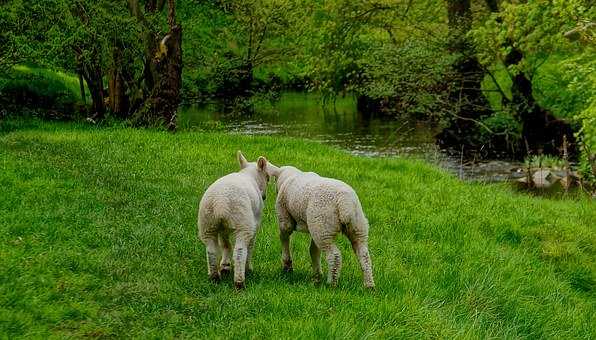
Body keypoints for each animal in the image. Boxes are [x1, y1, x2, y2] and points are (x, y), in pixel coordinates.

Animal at [198, 151, 270, 290]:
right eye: (268, 178)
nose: (264, 197)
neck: (249, 176)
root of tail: (220, 203)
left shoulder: (223, 228)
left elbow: (225, 244)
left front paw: (225, 266)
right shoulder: (254, 224)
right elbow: (250, 245)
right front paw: (248, 268)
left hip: (207, 223)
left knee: (211, 250)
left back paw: (214, 277)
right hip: (243, 223)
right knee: (240, 252)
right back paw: (240, 282)